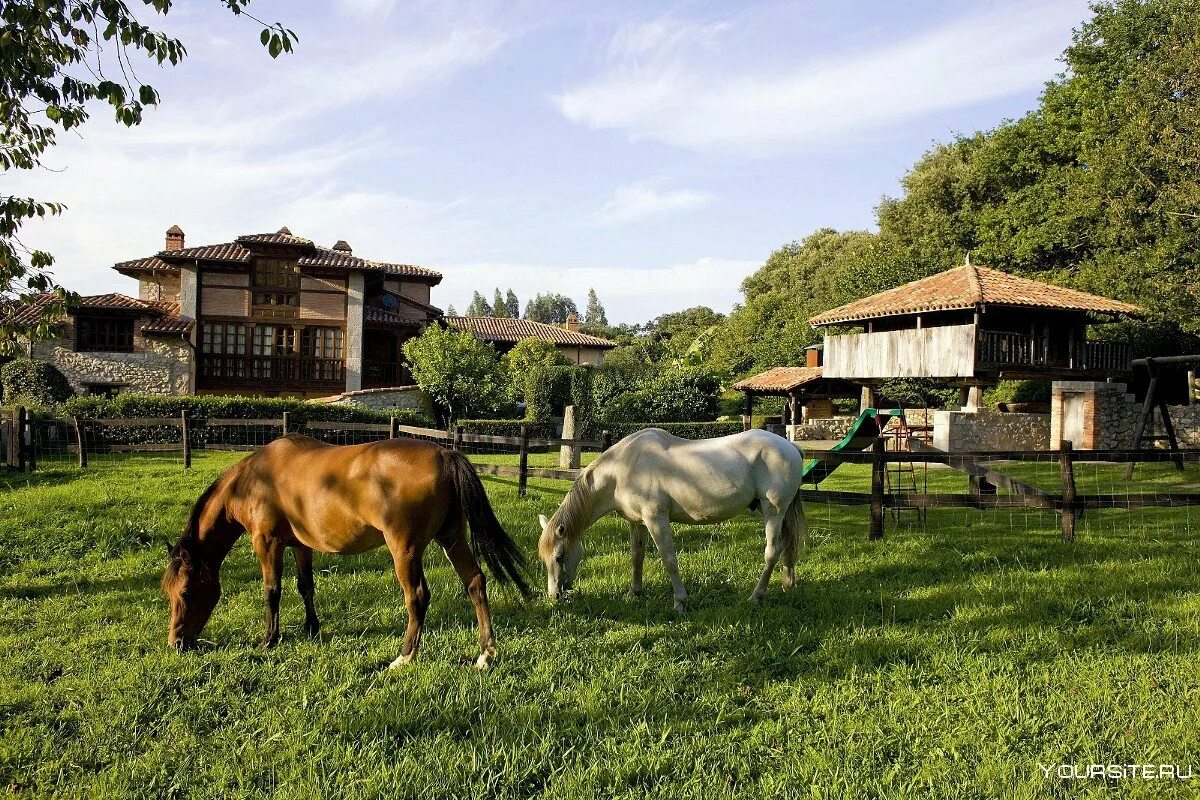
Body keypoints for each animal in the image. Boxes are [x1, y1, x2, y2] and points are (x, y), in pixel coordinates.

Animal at [160, 434, 530, 666]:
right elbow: (305, 586)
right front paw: (311, 629)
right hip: (451, 537)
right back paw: (485, 654)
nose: (176, 643)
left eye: (187, 591)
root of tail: (443, 454)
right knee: (475, 582)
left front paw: (269, 639)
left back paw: (404, 656)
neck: (254, 480)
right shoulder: (300, 546)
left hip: (405, 549)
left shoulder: (267, 543)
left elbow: (272, 591)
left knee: (418, 596)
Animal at [542, 429, 806, 609]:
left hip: (773, 511)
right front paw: (635, 592)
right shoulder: (636, 522)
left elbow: (668, 559)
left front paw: (680, 601)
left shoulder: (656, 519)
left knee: (772, 550)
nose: (554, 596)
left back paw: (756, 596)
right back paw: (787, 585)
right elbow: (636, 556)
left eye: (559, 556)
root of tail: (790, 446)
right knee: (785, 547)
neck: (623, 468)